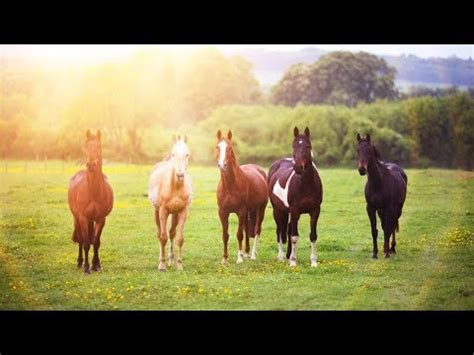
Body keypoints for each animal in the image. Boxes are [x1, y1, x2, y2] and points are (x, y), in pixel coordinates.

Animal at [67, 131, 113, 276]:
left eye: (99, 146)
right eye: (86, 146)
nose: (91, 164)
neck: (93, 191)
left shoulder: (100, 218)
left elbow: (96, 242)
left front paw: (95, 265)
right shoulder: (83, 217)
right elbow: (86, 243)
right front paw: (87, 267)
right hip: (77, 218)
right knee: (81, 239)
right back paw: (79, 262)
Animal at [148, 135, 193, 272]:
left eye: (187, 154)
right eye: (173, 154)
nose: (180, 175)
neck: (176, 187)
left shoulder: (183, 211)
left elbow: (179, 238)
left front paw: (179, 265)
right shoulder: (163, 211)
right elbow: (163, 237)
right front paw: (161, 266)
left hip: (175, 214)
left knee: (172, 233)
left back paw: (171, 260)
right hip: (157, 212)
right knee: (160, 234)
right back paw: (161, 260)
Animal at [216, 131, 268, 264]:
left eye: (229, 148)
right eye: (217, 147)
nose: (222, 165)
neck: (230, 185)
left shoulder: (240, 211)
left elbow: (239, 234)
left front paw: (239, 258)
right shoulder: (223, 212)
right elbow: (225, 235)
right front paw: (225, 259)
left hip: (260, 209)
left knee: (257, 230)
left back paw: (253, 254)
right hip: (248, 212)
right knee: (247, 229)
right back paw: (247, 253)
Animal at [268, 126, 324, 268]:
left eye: (308, 146)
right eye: (294, 145)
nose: (298, 167)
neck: (306, 184)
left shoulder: (315, 211)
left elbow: (313, 235)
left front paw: (313, 262)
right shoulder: (295, 211)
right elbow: (294, 236)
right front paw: (293, 262)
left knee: (287, 229)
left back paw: (287, 256)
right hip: (278, 210)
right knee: (280, 231)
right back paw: (282, 257)